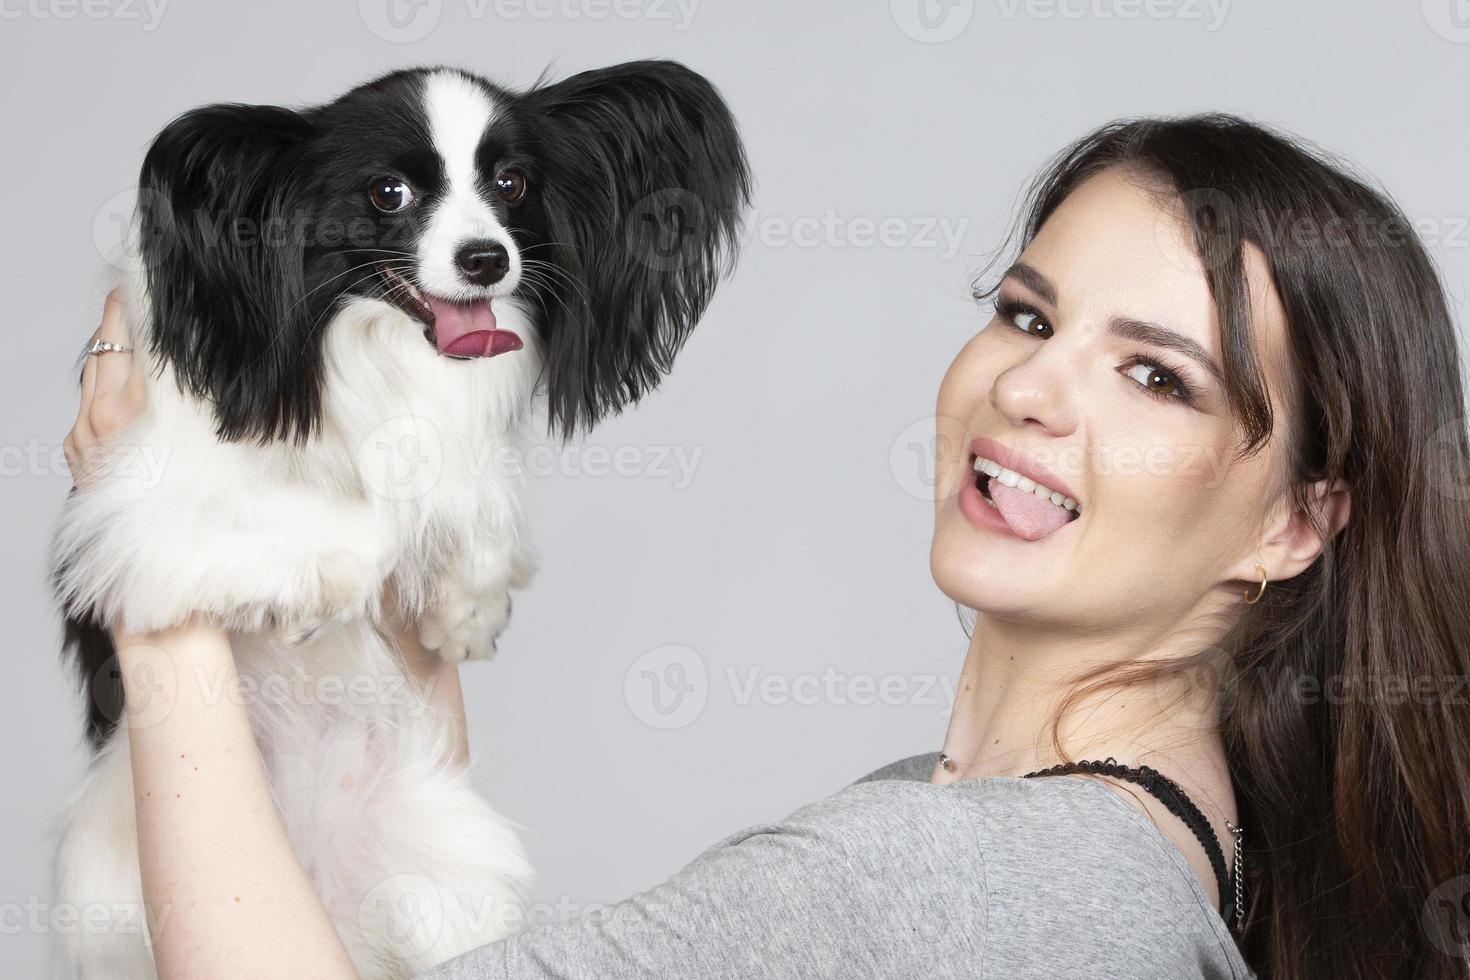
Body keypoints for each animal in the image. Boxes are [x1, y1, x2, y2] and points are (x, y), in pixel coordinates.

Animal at [51, 63, 752, 980]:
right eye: (389, 194)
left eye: (511, 184)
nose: (487, 258)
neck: (374, 349)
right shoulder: (136, 502)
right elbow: (327, 520)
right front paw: (328, 579)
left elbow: (466, 495)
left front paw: (468, 605)